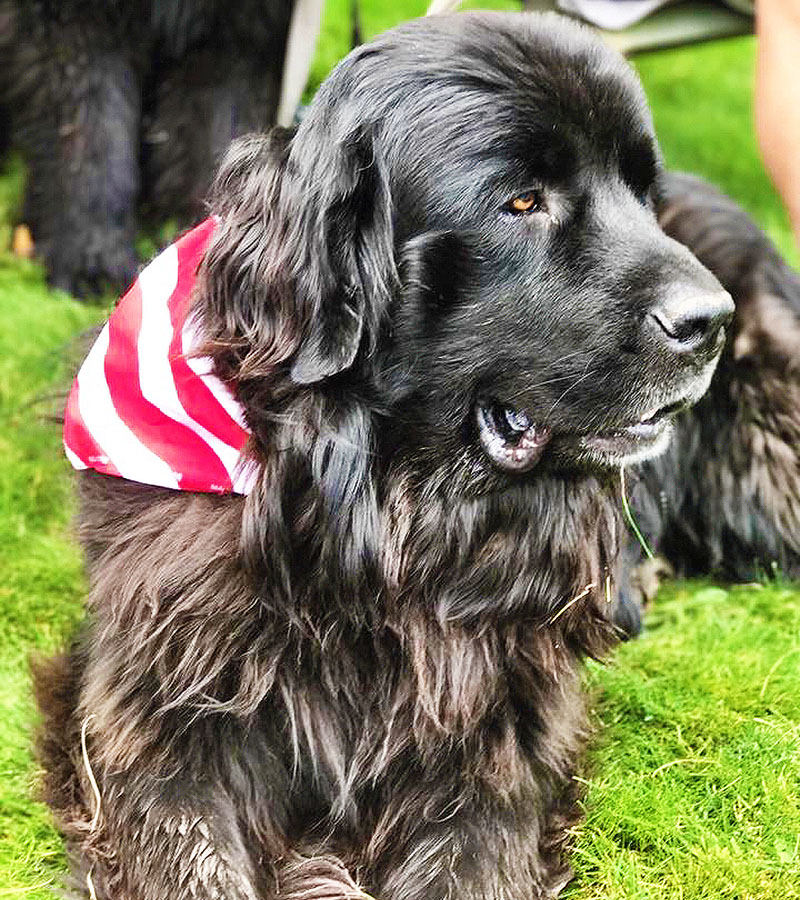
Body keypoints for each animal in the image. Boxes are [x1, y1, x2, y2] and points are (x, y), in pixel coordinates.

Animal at [36, 14, 736, 900]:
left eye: (643, 193)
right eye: (521, 202)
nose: (714, 319)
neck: (368, 518)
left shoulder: (499, 727)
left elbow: (470, 857)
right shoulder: (157, 708)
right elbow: (187, 851)